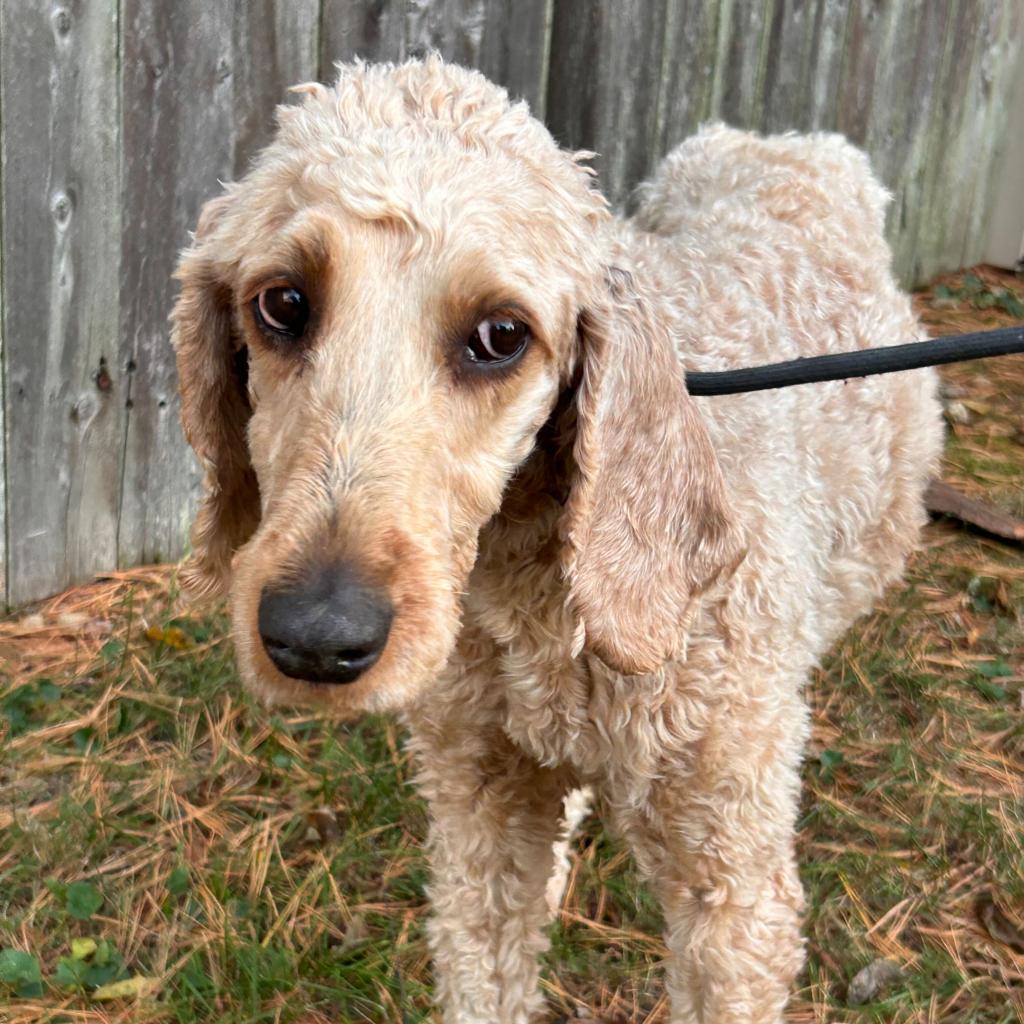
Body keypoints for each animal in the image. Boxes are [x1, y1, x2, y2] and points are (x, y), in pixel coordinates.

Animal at [169, 58, 942, 1024]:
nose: (314, 639)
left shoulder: (732, 894)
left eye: (501, 335)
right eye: (282, 304)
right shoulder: (481, 815)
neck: (545, 594)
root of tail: (791, 142)